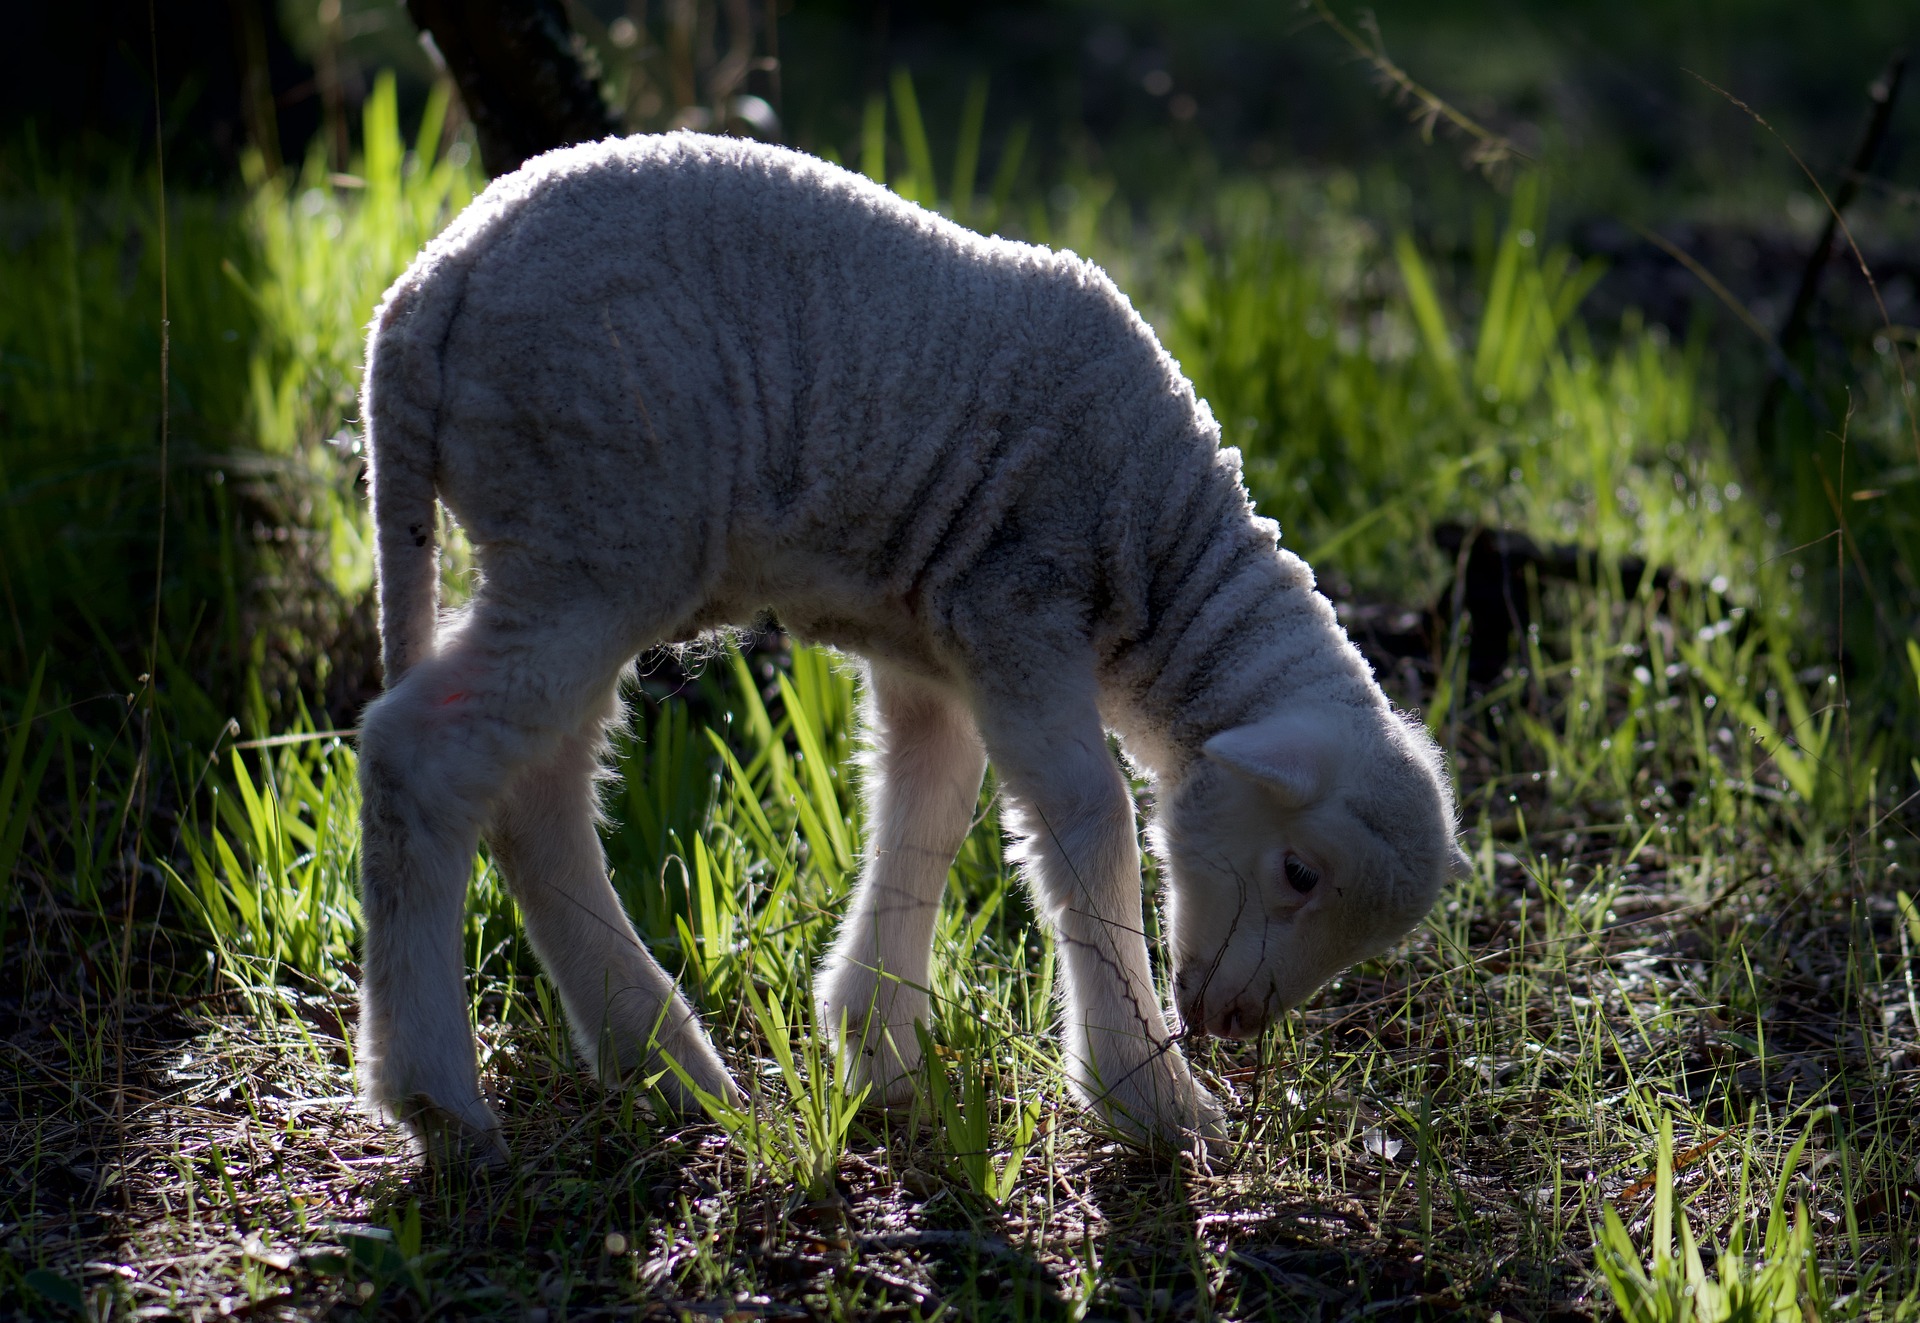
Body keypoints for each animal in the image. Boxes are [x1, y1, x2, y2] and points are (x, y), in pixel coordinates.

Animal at [357, 131, 1466, 1152]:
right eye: (1298, 872)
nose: (1233, 1024)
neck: (1163, 553)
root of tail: (424, 292)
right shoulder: (1021, 603)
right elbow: (1089, 821)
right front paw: (1147, 1096)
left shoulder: (929, 648)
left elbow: (926, 806)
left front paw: (877, 1048)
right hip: (593, 518)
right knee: (421, 754)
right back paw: (436, 1094)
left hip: (576, 546)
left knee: (533, 790)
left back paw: (664, 1061)